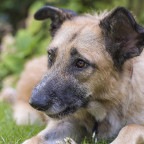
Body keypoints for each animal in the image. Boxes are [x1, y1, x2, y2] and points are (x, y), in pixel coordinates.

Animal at [12, 5, 144, 144]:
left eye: (80, 63)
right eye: (50, 56)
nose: (35, 103)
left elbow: (131, 127)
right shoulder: (66, 122)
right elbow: (36, 138)